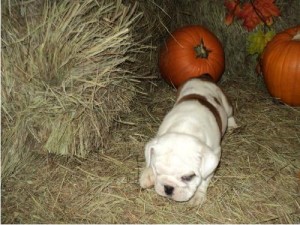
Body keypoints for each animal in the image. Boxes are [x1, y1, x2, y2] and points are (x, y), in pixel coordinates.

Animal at [139, 74, 238, 206]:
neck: (185, 129)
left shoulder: (215, 153)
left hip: (226, 104)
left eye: (188, 177)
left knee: (230, 114)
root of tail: (203, 77)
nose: (168, 188)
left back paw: (232, 125)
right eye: (157, 171)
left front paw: (198, 195)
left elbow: (204, 179)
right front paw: (147, 174)